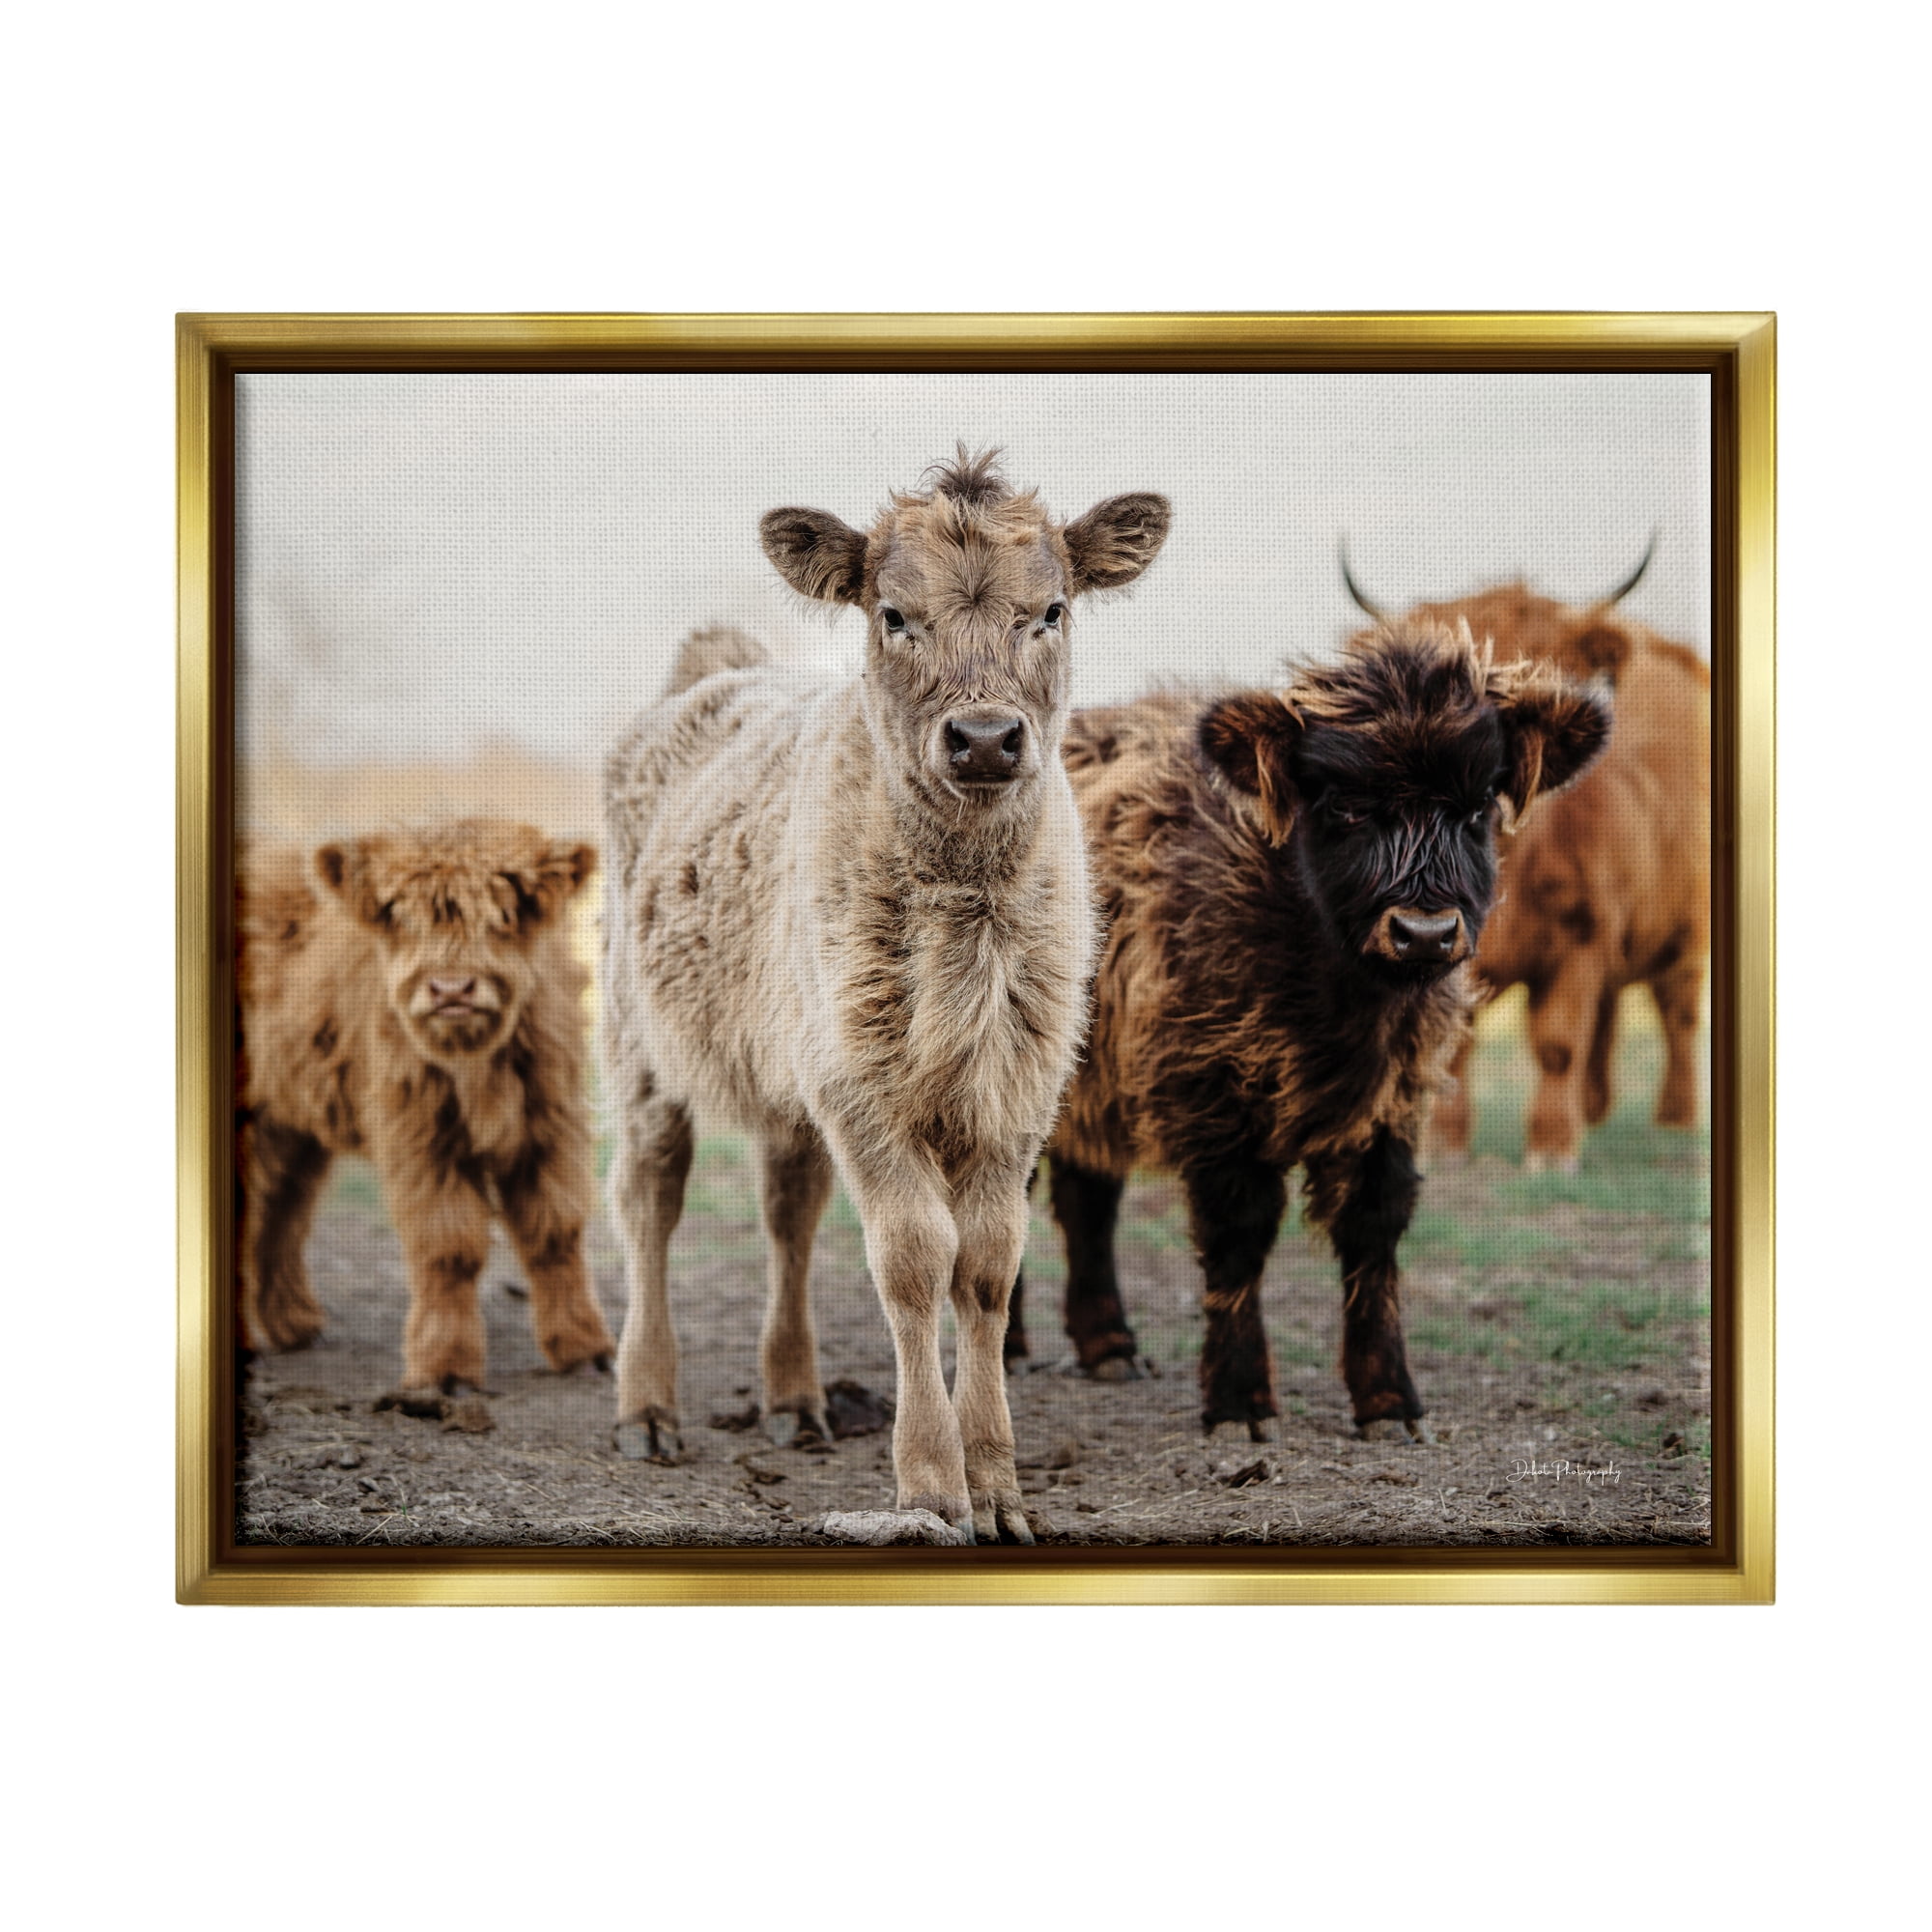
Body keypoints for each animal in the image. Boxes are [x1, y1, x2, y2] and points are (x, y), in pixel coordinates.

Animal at [236, 820, 613, 1412]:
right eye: (401, 917)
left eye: (502, 915)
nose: (451, 988)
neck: (474, 1061)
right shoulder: (421, 1138)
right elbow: (448, 1247)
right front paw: (444, 1371)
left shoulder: (549, 1126)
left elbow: (555, 1230)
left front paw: (585, 1351)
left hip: (292, 1122)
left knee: (283, 1209)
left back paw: (295, 1326)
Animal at [601, 449, 1170, 1542]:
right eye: (894, 614)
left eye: (1051, 609)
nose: (984, 739)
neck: (966, 917)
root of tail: (717, 672)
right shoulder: (862, 1089)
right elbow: (913, 1258)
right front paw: (931, 1484)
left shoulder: (1016, 1088)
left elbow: (985, 1265)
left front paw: (996, 1483)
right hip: (641, 1044)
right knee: (650, 1200)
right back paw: (647, 1405)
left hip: (793, 1065)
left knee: (787, 1212)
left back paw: (794, 1396)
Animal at [1003, 623, 1609, 1439]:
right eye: (1344, 806)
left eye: (1479, 802)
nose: (1424, 932)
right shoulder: (1210, 1090)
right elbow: (1239, 1234)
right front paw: (1239, 1401)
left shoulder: (1395, 1100)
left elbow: (1375, 1227)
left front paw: (1388, 1401)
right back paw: (1006, 1347)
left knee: (1087, 1198)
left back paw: (1109, 1347)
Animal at [1344, 556, 1711, 1168]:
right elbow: (1457, 1045)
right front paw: (1446, 1145)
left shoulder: (1583, 936)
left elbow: (1558, 1042)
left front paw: (1553, 1149)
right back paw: (1596, 1111)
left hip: (1684, 934)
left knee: (1677, 1013)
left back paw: (1675, 1121)